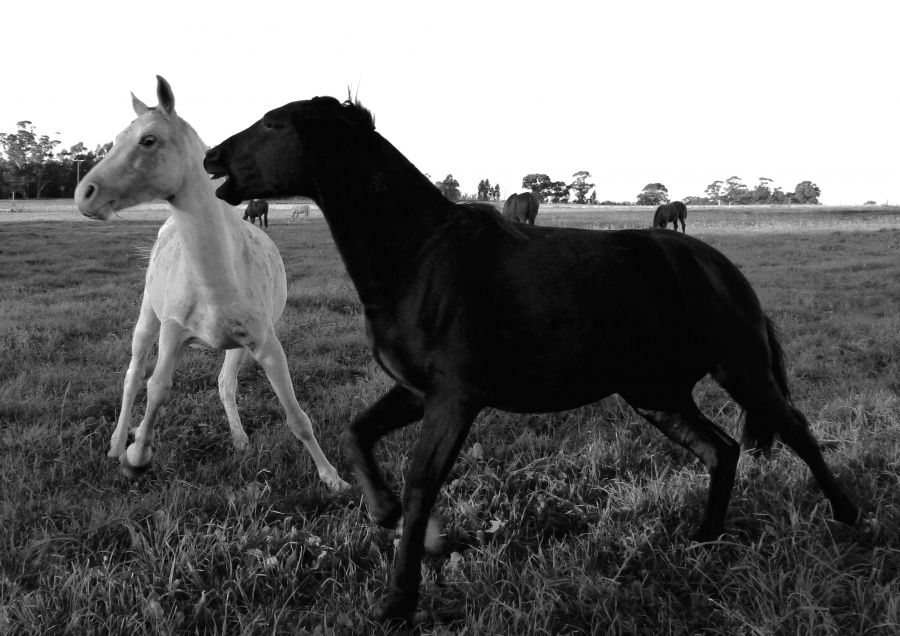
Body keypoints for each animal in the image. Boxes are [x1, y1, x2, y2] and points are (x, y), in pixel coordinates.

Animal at [74, 77, 348, 490]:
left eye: (148, 140)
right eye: (118, 137)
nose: (84, 194)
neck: (216, 276)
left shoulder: (265, 343)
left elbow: (296, 415)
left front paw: (333, 478)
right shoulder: (172, 332)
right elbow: (156, 387)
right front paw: (136, 455)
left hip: (235, 346)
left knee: (224, 383)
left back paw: (239, 439)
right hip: (147, 319)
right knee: (133, 374)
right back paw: (117, 442)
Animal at [204, 98, 856, 628]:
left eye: (274, 123)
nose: (211, 158)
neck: (421, 256)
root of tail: (719, 266)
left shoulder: (454, 399)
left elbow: (421, 481)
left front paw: (400, 597)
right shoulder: (416, 392)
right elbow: (358, 433)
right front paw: (389, 517)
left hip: (739, 370)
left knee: (796, 430)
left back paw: (848, 518)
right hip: (656, 395)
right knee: (721, 449)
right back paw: (704, 540)